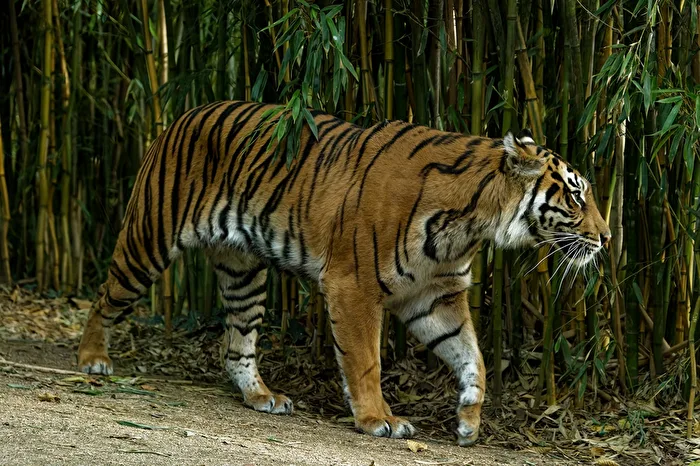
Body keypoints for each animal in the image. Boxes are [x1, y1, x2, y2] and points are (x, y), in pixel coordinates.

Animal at [76, 100, 610, 447]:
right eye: (576, 196)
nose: (607, 239)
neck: (472, 223)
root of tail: (179, 117)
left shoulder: (436, 296)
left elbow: (472, 356)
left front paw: (468, 422)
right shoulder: (353, 285)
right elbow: (365, 360)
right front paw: (378, 420)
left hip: (244, 272)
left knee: (237, 344)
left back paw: (261, 396)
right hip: (149, 239)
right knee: (104, 297)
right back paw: (92, 360)